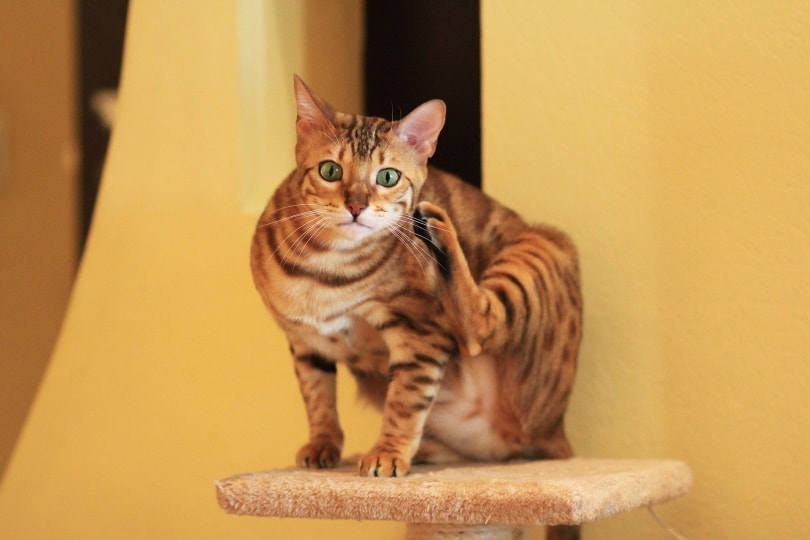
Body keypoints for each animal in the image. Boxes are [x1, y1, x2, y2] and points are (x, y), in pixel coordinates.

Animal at [252, 77, 580, 490]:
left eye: (387, 176)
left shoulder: (423, 333)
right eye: (329, 170)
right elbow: (317, 398)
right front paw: (323, 444)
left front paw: (388, 454)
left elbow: (405, 400)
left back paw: (438, 229)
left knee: (478, 330)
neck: (326, 270)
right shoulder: (305, 343)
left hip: (538, 253)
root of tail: (557, 430)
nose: (356, 205)